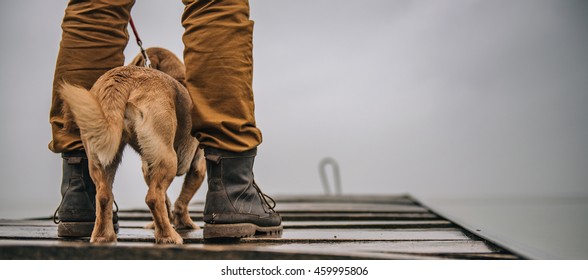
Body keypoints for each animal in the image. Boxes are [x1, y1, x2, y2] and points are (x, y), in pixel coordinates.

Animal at [59, 47, 206, 244]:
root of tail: (124, 79)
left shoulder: (148, 166)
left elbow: (168, 201)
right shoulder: (198, 167)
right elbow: (181, 201)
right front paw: (185, 223)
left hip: (102, 158)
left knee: (104, 196)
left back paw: (103, 236)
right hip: (169, 159)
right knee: (153, 197)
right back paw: (168, 236)